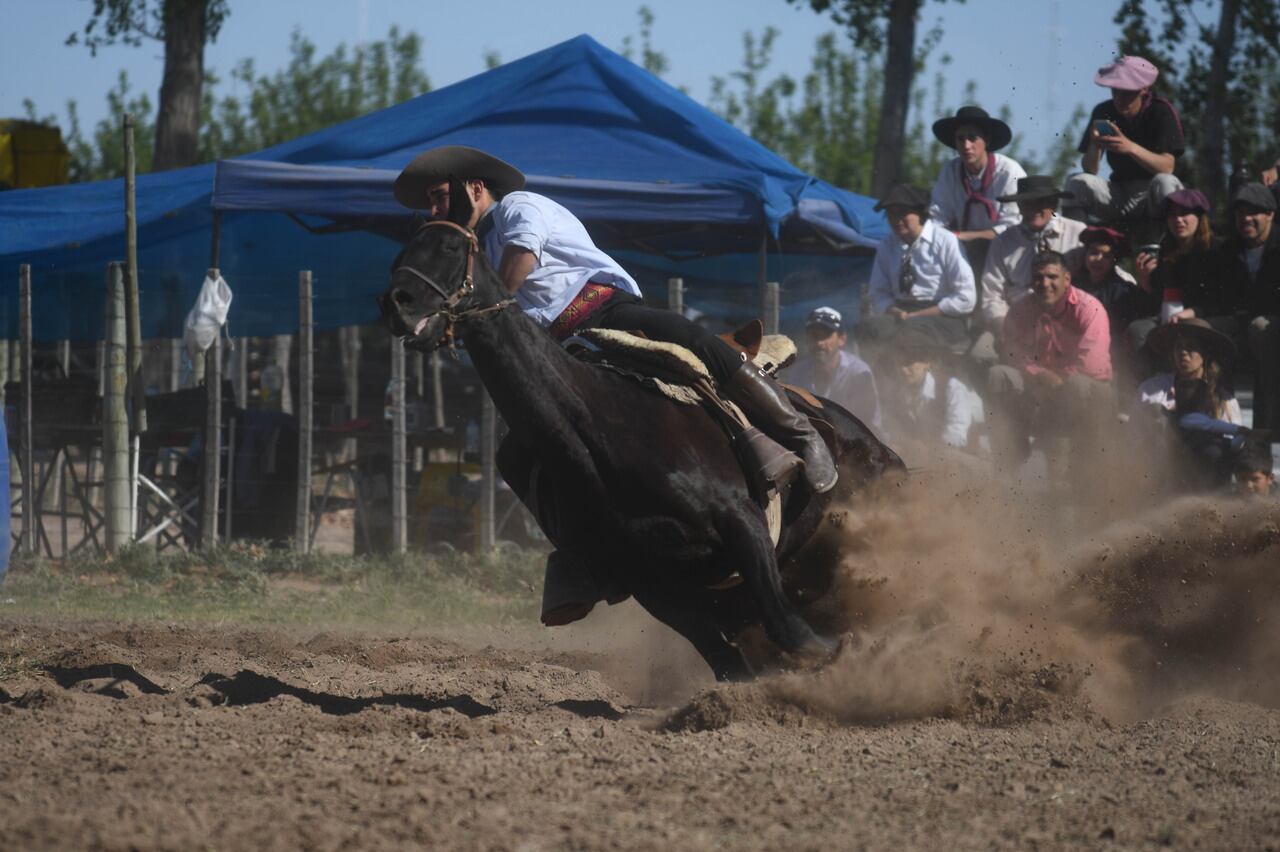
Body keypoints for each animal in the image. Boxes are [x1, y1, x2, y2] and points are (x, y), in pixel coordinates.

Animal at [378, 190, 911, 675]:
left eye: (450, 246)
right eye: (402, 253)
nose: (396, 304)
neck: (604, 430)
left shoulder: (742, 522)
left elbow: (791, 632)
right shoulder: (653, 583)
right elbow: (731, 663)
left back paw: (813, 454)